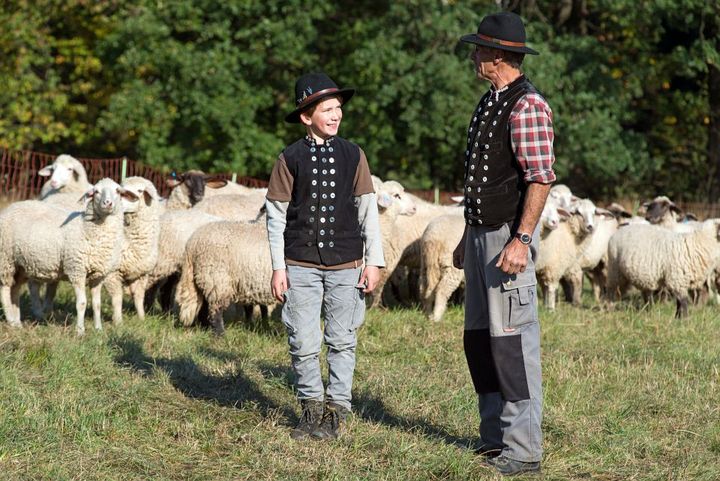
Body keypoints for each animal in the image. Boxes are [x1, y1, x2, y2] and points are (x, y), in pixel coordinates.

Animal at [0, 177, 136, 334]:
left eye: (118, 191)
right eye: (96, 191)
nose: (107, 203)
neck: (87, 229)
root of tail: (9, 208)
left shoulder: (98, 275)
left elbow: (97, 304)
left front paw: (98, 329)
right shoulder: (77, 270)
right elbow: (82, 303)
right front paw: (80, 331)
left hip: (20, 265)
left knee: (15, 290)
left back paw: (17, 323)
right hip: (6, 259)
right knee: (5, 289)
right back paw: (11, 320)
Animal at [100, 178, 162, 324]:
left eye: (140, 190)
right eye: (120, 189)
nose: (114, 204)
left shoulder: (141, 274)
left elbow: (139, 298)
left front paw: (142, 319)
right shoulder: (112, 274)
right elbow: (117, 298)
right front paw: (118, 322)